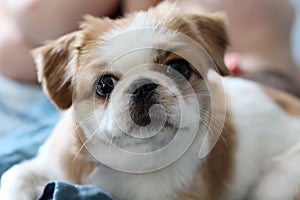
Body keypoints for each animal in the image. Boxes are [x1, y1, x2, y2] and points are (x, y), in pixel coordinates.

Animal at [0, 1, 300, 200]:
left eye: (179, 68)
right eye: (104, 85)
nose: (143, 86)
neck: (130, 165)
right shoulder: (46, 165)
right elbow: (15, 175)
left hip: (276, 181)